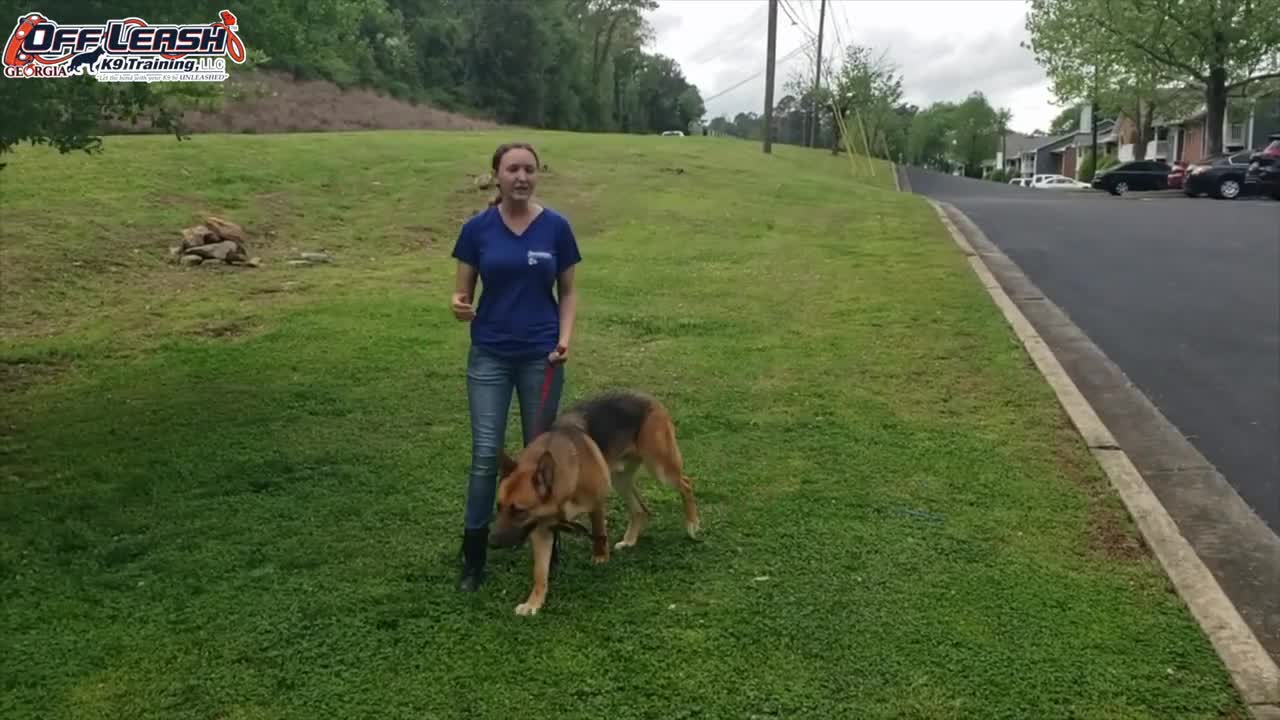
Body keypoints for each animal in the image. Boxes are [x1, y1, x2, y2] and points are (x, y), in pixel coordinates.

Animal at [486, 389, 696, 614]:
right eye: (498, 507)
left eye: (519, 511)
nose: (492, 542)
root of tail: (647, 397)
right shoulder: (541, 531)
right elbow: (539, 573)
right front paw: (534, 602)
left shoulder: (597, 502)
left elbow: (598, 531)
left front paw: (600, 558)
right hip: (620, 479)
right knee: (640, 509)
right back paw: (630, 540)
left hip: (660, 468)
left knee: (686, 484)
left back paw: (692, 524)